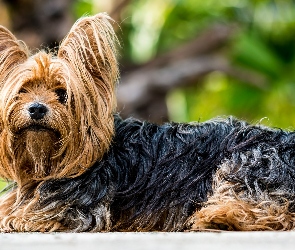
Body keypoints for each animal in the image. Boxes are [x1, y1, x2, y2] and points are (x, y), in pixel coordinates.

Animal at [0, 13, 295, 232]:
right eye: (22, 91)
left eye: (62, 94)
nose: (36, 108)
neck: (47, 163)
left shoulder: (79, 209)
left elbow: (27, 216)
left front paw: (16, 218)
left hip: (248, 162)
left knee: (275, 211)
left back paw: (220, 217)